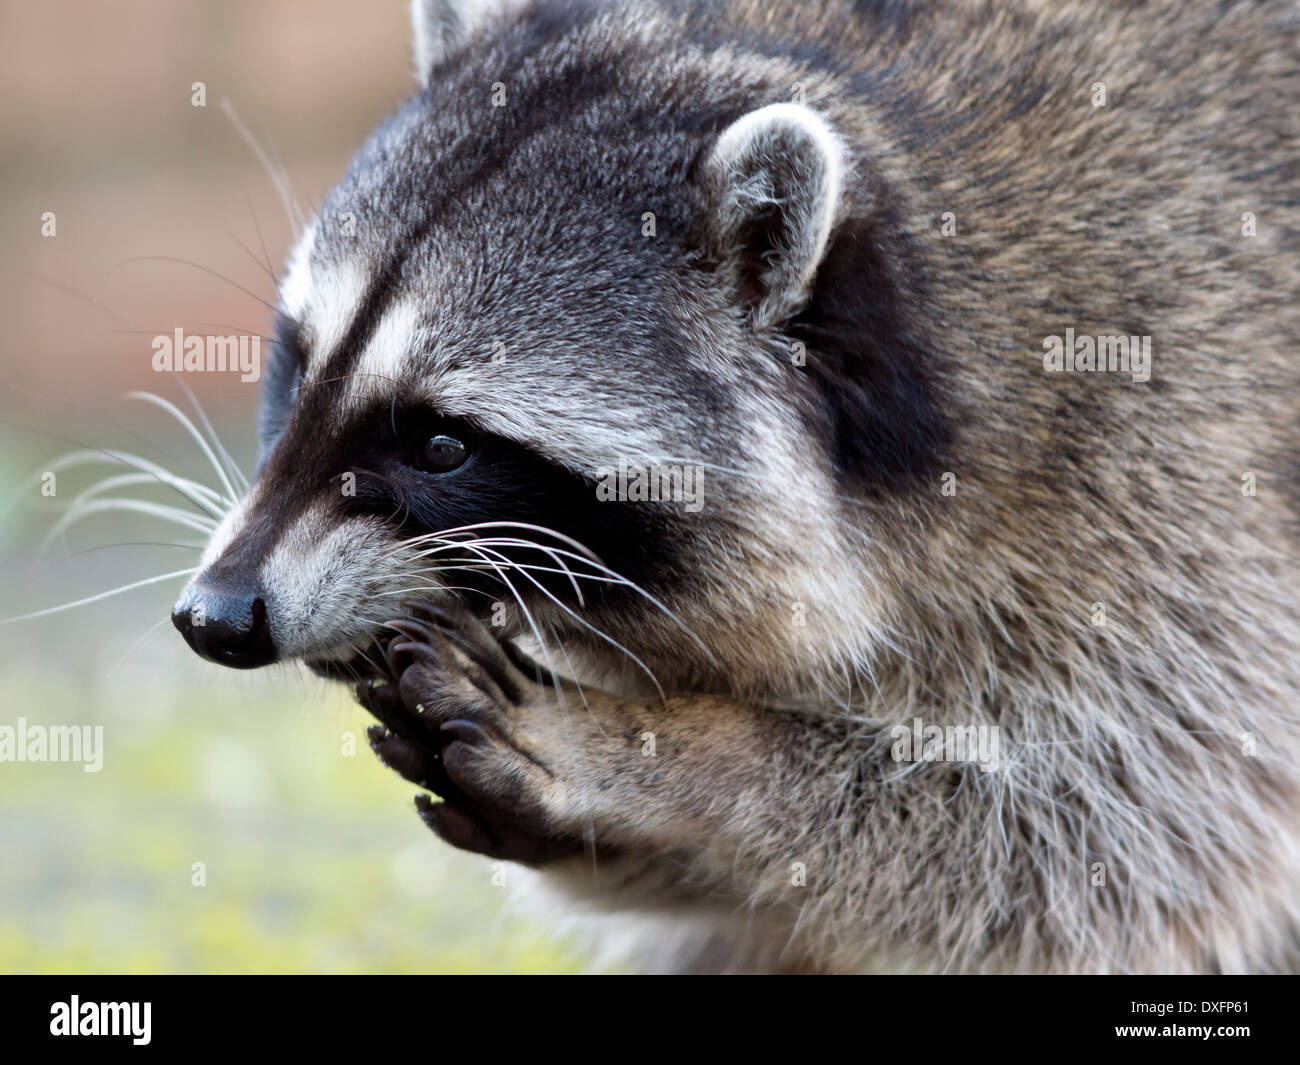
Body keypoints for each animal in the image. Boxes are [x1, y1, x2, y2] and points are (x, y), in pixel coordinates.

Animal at [167, 0, 1300, 972]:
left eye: (442, 446)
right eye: (300, 365)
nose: (217, 614)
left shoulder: (1161, 470)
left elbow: (1111, 843)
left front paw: (676, 758)